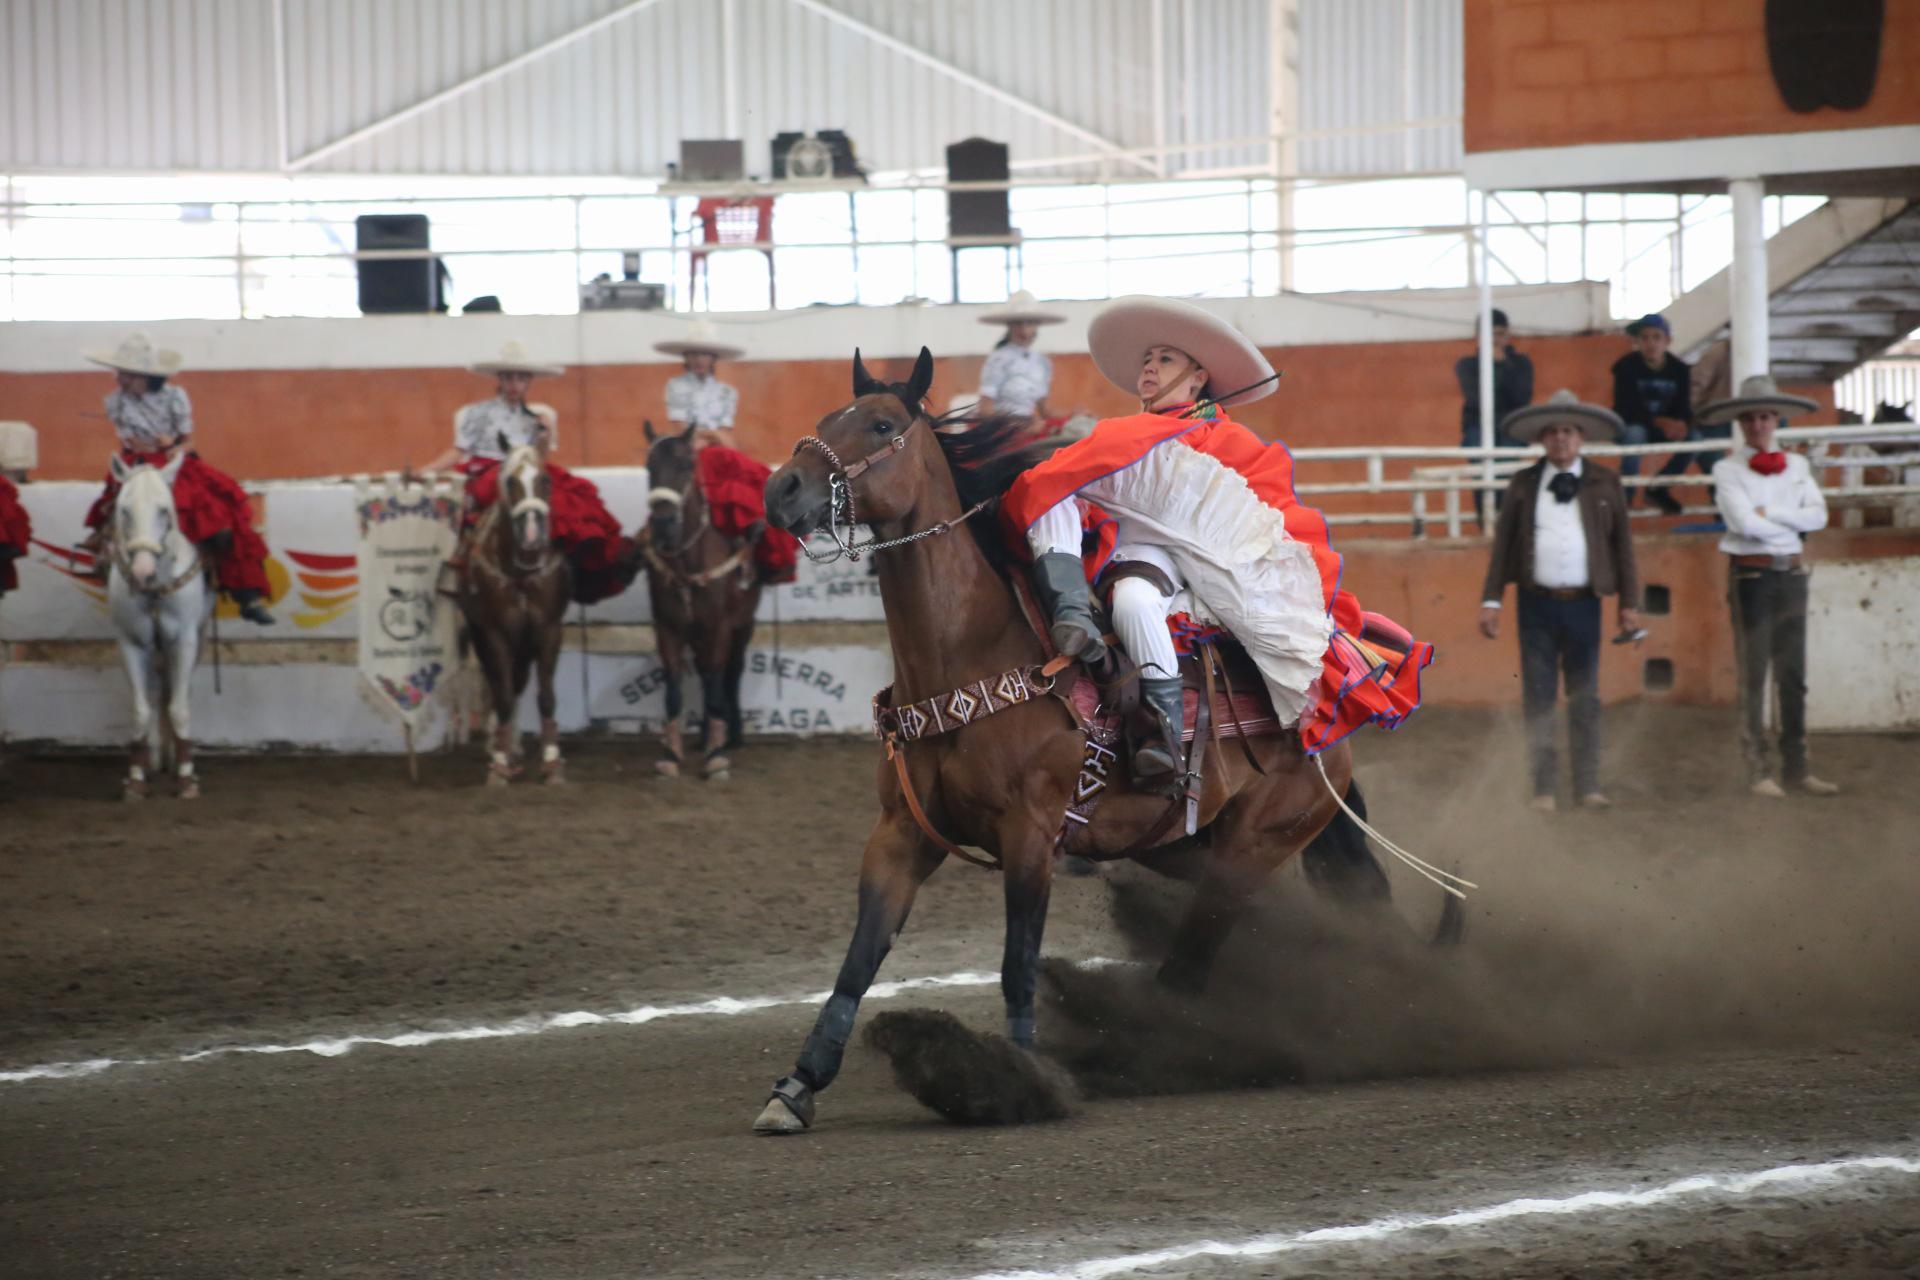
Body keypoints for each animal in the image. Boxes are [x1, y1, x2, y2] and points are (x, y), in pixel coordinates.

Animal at [105, 452, 212, 802]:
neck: (155, 590)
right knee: (154, 696)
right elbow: (140, 710)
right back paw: (155, 760)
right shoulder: (131, 643)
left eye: (164, 510)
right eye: (124, 510)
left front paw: (187, 777)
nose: (142, 572)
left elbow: (179, 708)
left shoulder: (185, 641)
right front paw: (136, 778)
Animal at [455, 441, 568, 786]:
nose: (531, 536)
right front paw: (500, 765)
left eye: (545, 479)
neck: (519, 570)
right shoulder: (493, 633)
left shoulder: (548, 628)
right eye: (510, 481)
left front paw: (551, 763)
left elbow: (546, 696)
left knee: (516, 682)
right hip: (480, 635)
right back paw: (500, 744)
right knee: (499, 685)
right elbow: (502, 694)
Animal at [645, 420, 764, 782]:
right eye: (649, 467)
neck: (686, 562)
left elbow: (714, 683)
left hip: (743, 625)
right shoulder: (667, 627)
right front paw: (671, 754)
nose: (663, 523)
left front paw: (717, 754)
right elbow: (673, 688)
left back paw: (732, 735)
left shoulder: (719, 627)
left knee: (731, 673)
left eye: (686, 465)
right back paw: (702, 737)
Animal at [744, 347, 1367, 1128]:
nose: (782, 489)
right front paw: (796, 1087)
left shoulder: (1030, 837)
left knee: (1192, 965)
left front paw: (1019, 1079)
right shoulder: (899, 834)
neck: (968, 654)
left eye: (882, 424)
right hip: (1188, 850)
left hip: (1246, 854)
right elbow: (859, 961)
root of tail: (1326, 734)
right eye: (829, 417)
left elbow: (1017, 964)